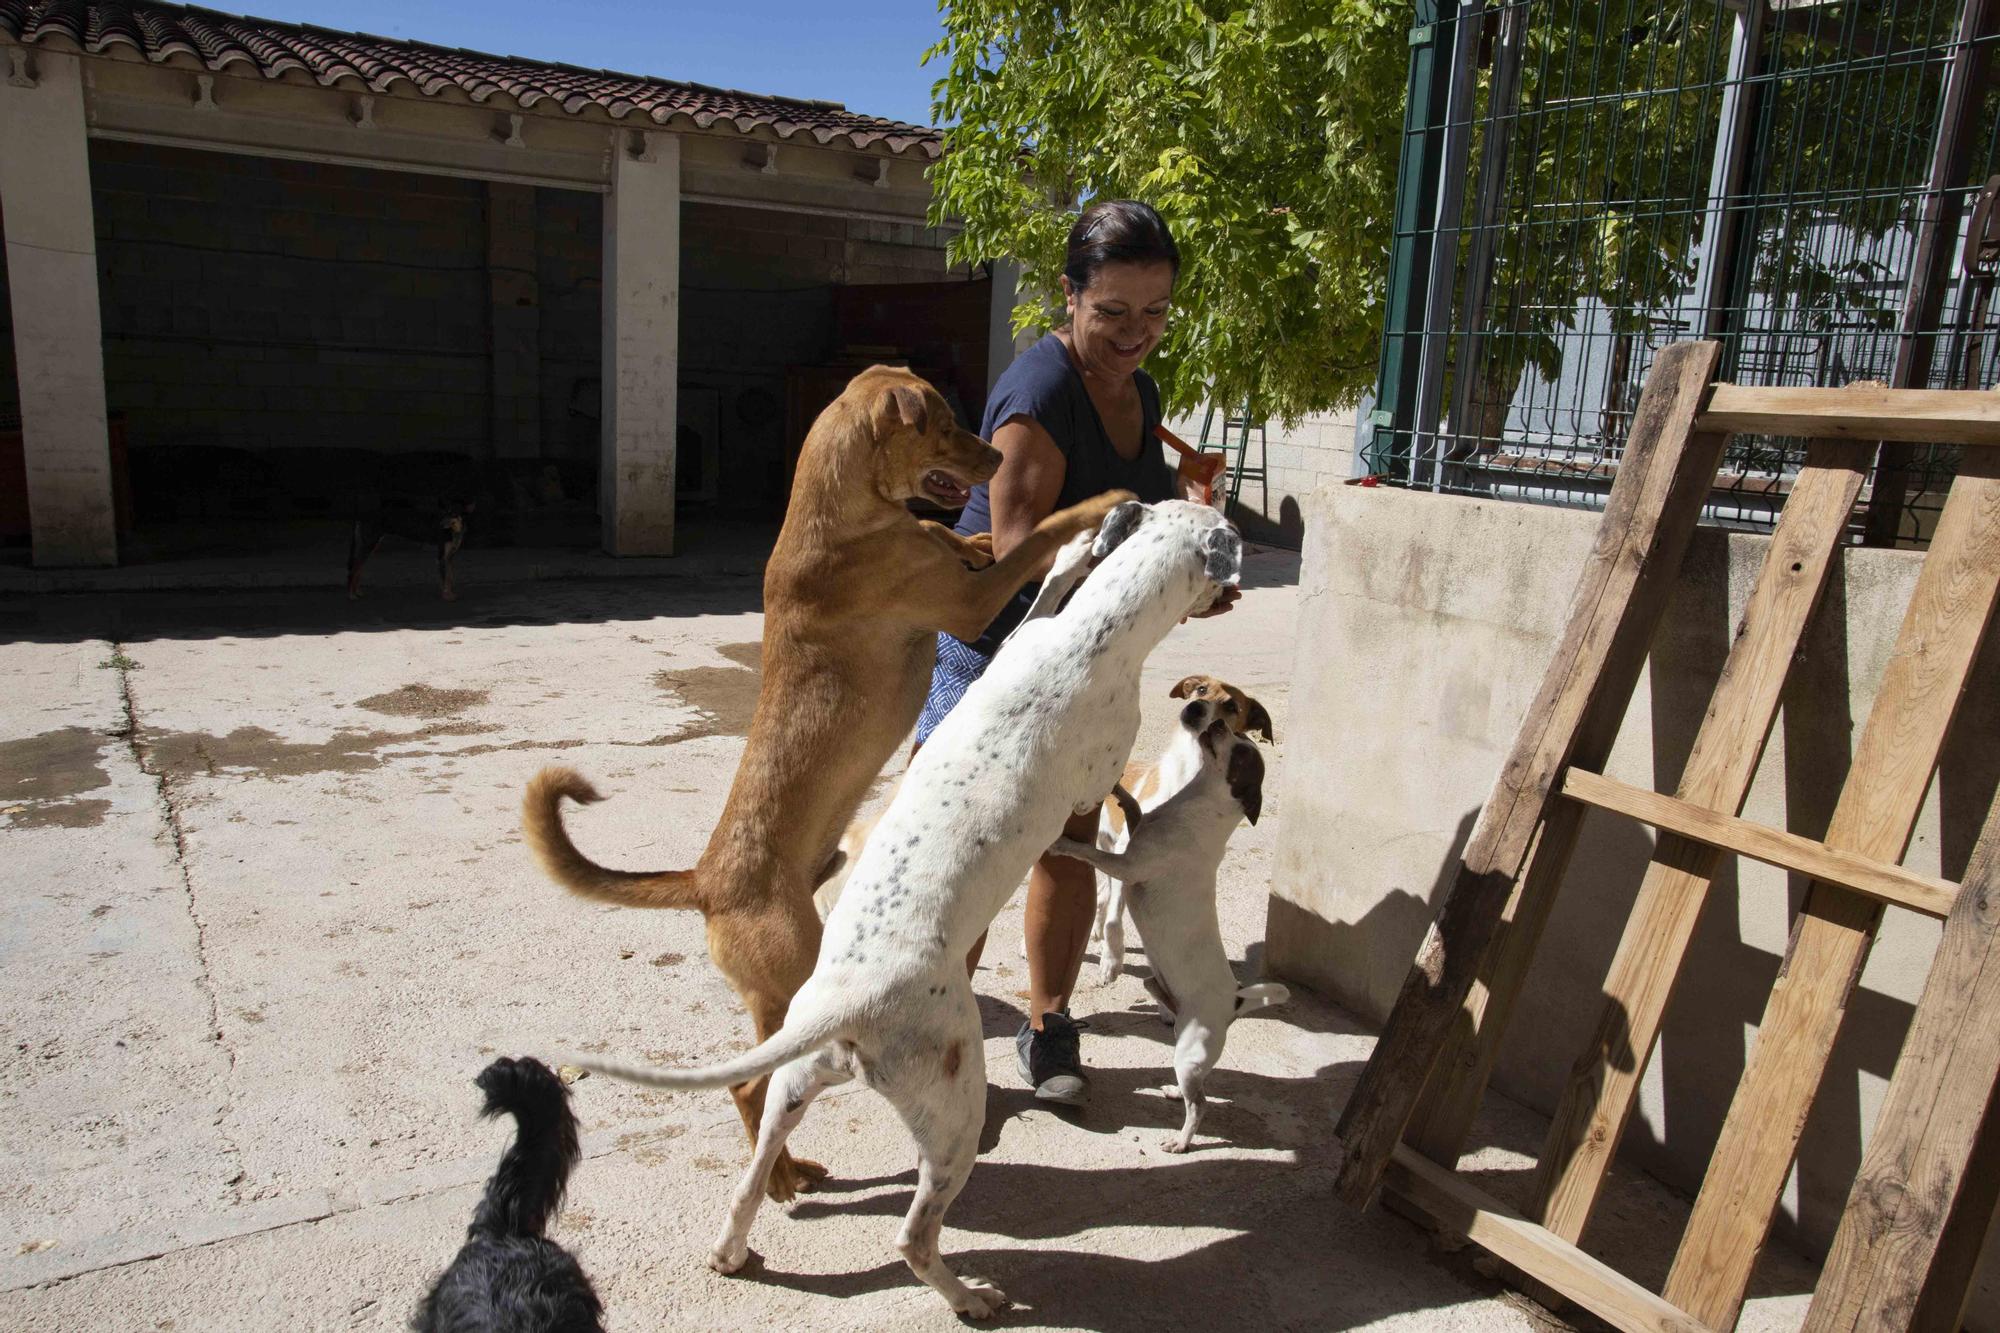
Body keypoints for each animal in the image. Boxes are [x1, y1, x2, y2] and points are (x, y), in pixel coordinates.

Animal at [524, 366, 1136, 1200]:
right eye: (941, 422)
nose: (997, 457)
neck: (845, 510)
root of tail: (705, 882)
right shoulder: (968, 603)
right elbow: (1036, 538)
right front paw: (1094, 505)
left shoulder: (950, 562)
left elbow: (970, 543)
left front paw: (976, 534)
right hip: (795, 979)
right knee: (749, 1085)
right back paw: (781, 1181)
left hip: (774, 997)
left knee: (755, 1083)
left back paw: (788, 1170)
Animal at [564, 500, 1240, 1320]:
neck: (1095, 635)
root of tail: (849, 1001)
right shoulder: (1093, 780)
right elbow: (1103, 806)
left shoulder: (1024, 636)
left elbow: (1044, 590)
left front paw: (1081, 541)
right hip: (954, 1112)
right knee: (913, 1236)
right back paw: (969, 1295)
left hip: (797, 1081)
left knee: (750, 1178)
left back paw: (733, 1250)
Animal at [1048, 704, 1280, 1152]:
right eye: (1240, 740)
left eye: (1243, 753)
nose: (1216, 722)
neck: (1196, 808)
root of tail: (1236, 1002)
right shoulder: (1137, 830)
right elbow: (1133, 806)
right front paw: (1116, 787)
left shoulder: (1127, 865)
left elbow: (1089, 853)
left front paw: (1063, 844)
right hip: (1179, 1036)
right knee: (1197, 1087)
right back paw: (1171, 1088)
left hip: (1190, 1052)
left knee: (1201, 1104)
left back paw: (1182, 1141)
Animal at [1088, 668, 1272, 980]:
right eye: (1200, 689)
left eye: (1232, 706)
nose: (1195, 708)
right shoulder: (1128, 849)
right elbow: (1116, 914)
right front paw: (1111, 958)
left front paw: (1110, 955)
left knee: (1103, 894)